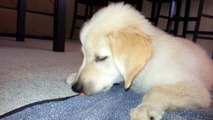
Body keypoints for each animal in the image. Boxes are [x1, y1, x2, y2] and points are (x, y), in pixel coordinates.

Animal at [67, 2, 213, 120]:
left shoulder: (196, 88)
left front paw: (145, 108)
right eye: (84, 55)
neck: (148, 64)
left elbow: (157, 89)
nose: (75, 87)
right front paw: (73, 75)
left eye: (101, 58)